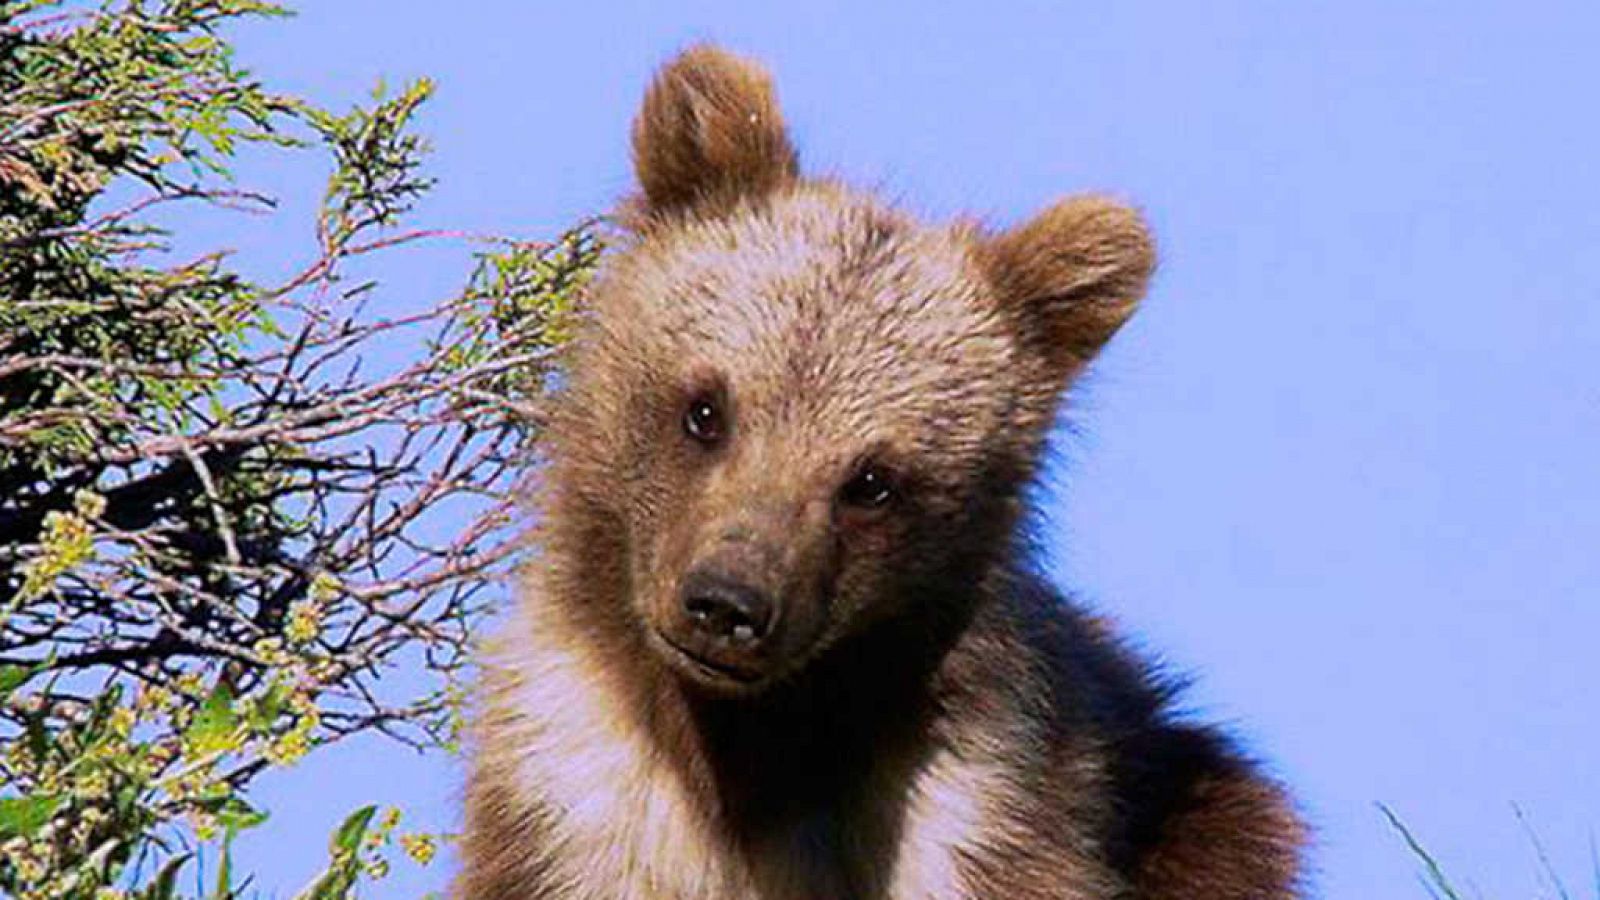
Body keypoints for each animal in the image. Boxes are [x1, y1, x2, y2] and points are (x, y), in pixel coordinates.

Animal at [460, 45, 1299, 896]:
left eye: (872, 480)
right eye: (705, 409)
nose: (727, 604)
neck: (746, 746)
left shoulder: (983, 810)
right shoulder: (572, 794)